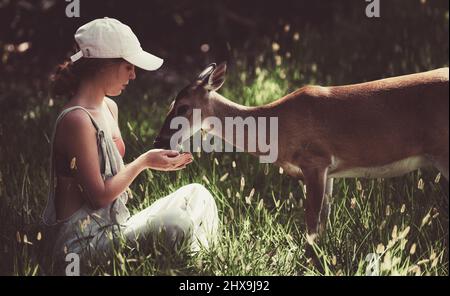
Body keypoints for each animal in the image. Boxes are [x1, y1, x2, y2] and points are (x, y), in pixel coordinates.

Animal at [153, 63, 448, 249]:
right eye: (169, 104)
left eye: (183, 107)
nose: (159, 140)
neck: (276, 128)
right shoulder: (329, 171)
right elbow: (323, 223)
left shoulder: (315, 161)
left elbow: (311, 227)